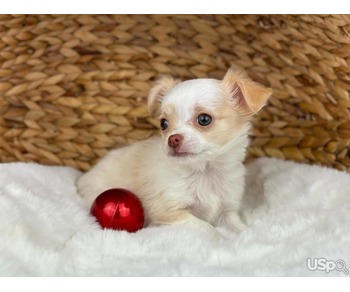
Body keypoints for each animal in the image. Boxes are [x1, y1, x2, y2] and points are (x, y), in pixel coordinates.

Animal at [77, 66, 270, 240]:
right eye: (164, 123)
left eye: (204, 119)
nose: (172, 139)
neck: (204, 172)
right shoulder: (170, 211)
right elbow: (207, 228)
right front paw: (222, 239)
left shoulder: (228, 210)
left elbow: (238, 226)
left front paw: (248, 235)